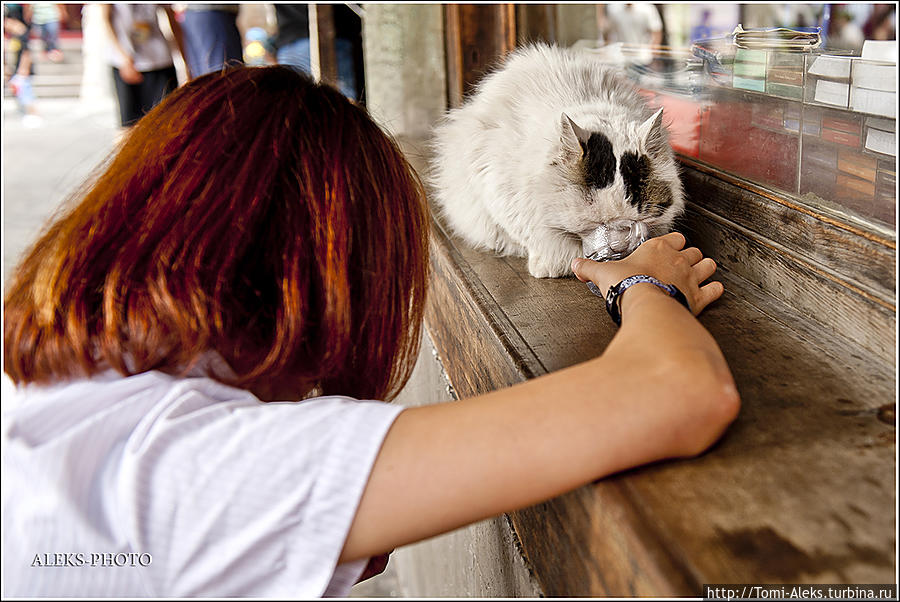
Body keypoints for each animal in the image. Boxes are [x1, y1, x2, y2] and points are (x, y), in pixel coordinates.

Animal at [432, 45, 684, 278]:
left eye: (634, 221)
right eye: (595, 223)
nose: (618, 246)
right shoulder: (496, 186)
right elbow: (531, 236)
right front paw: (549, 265)